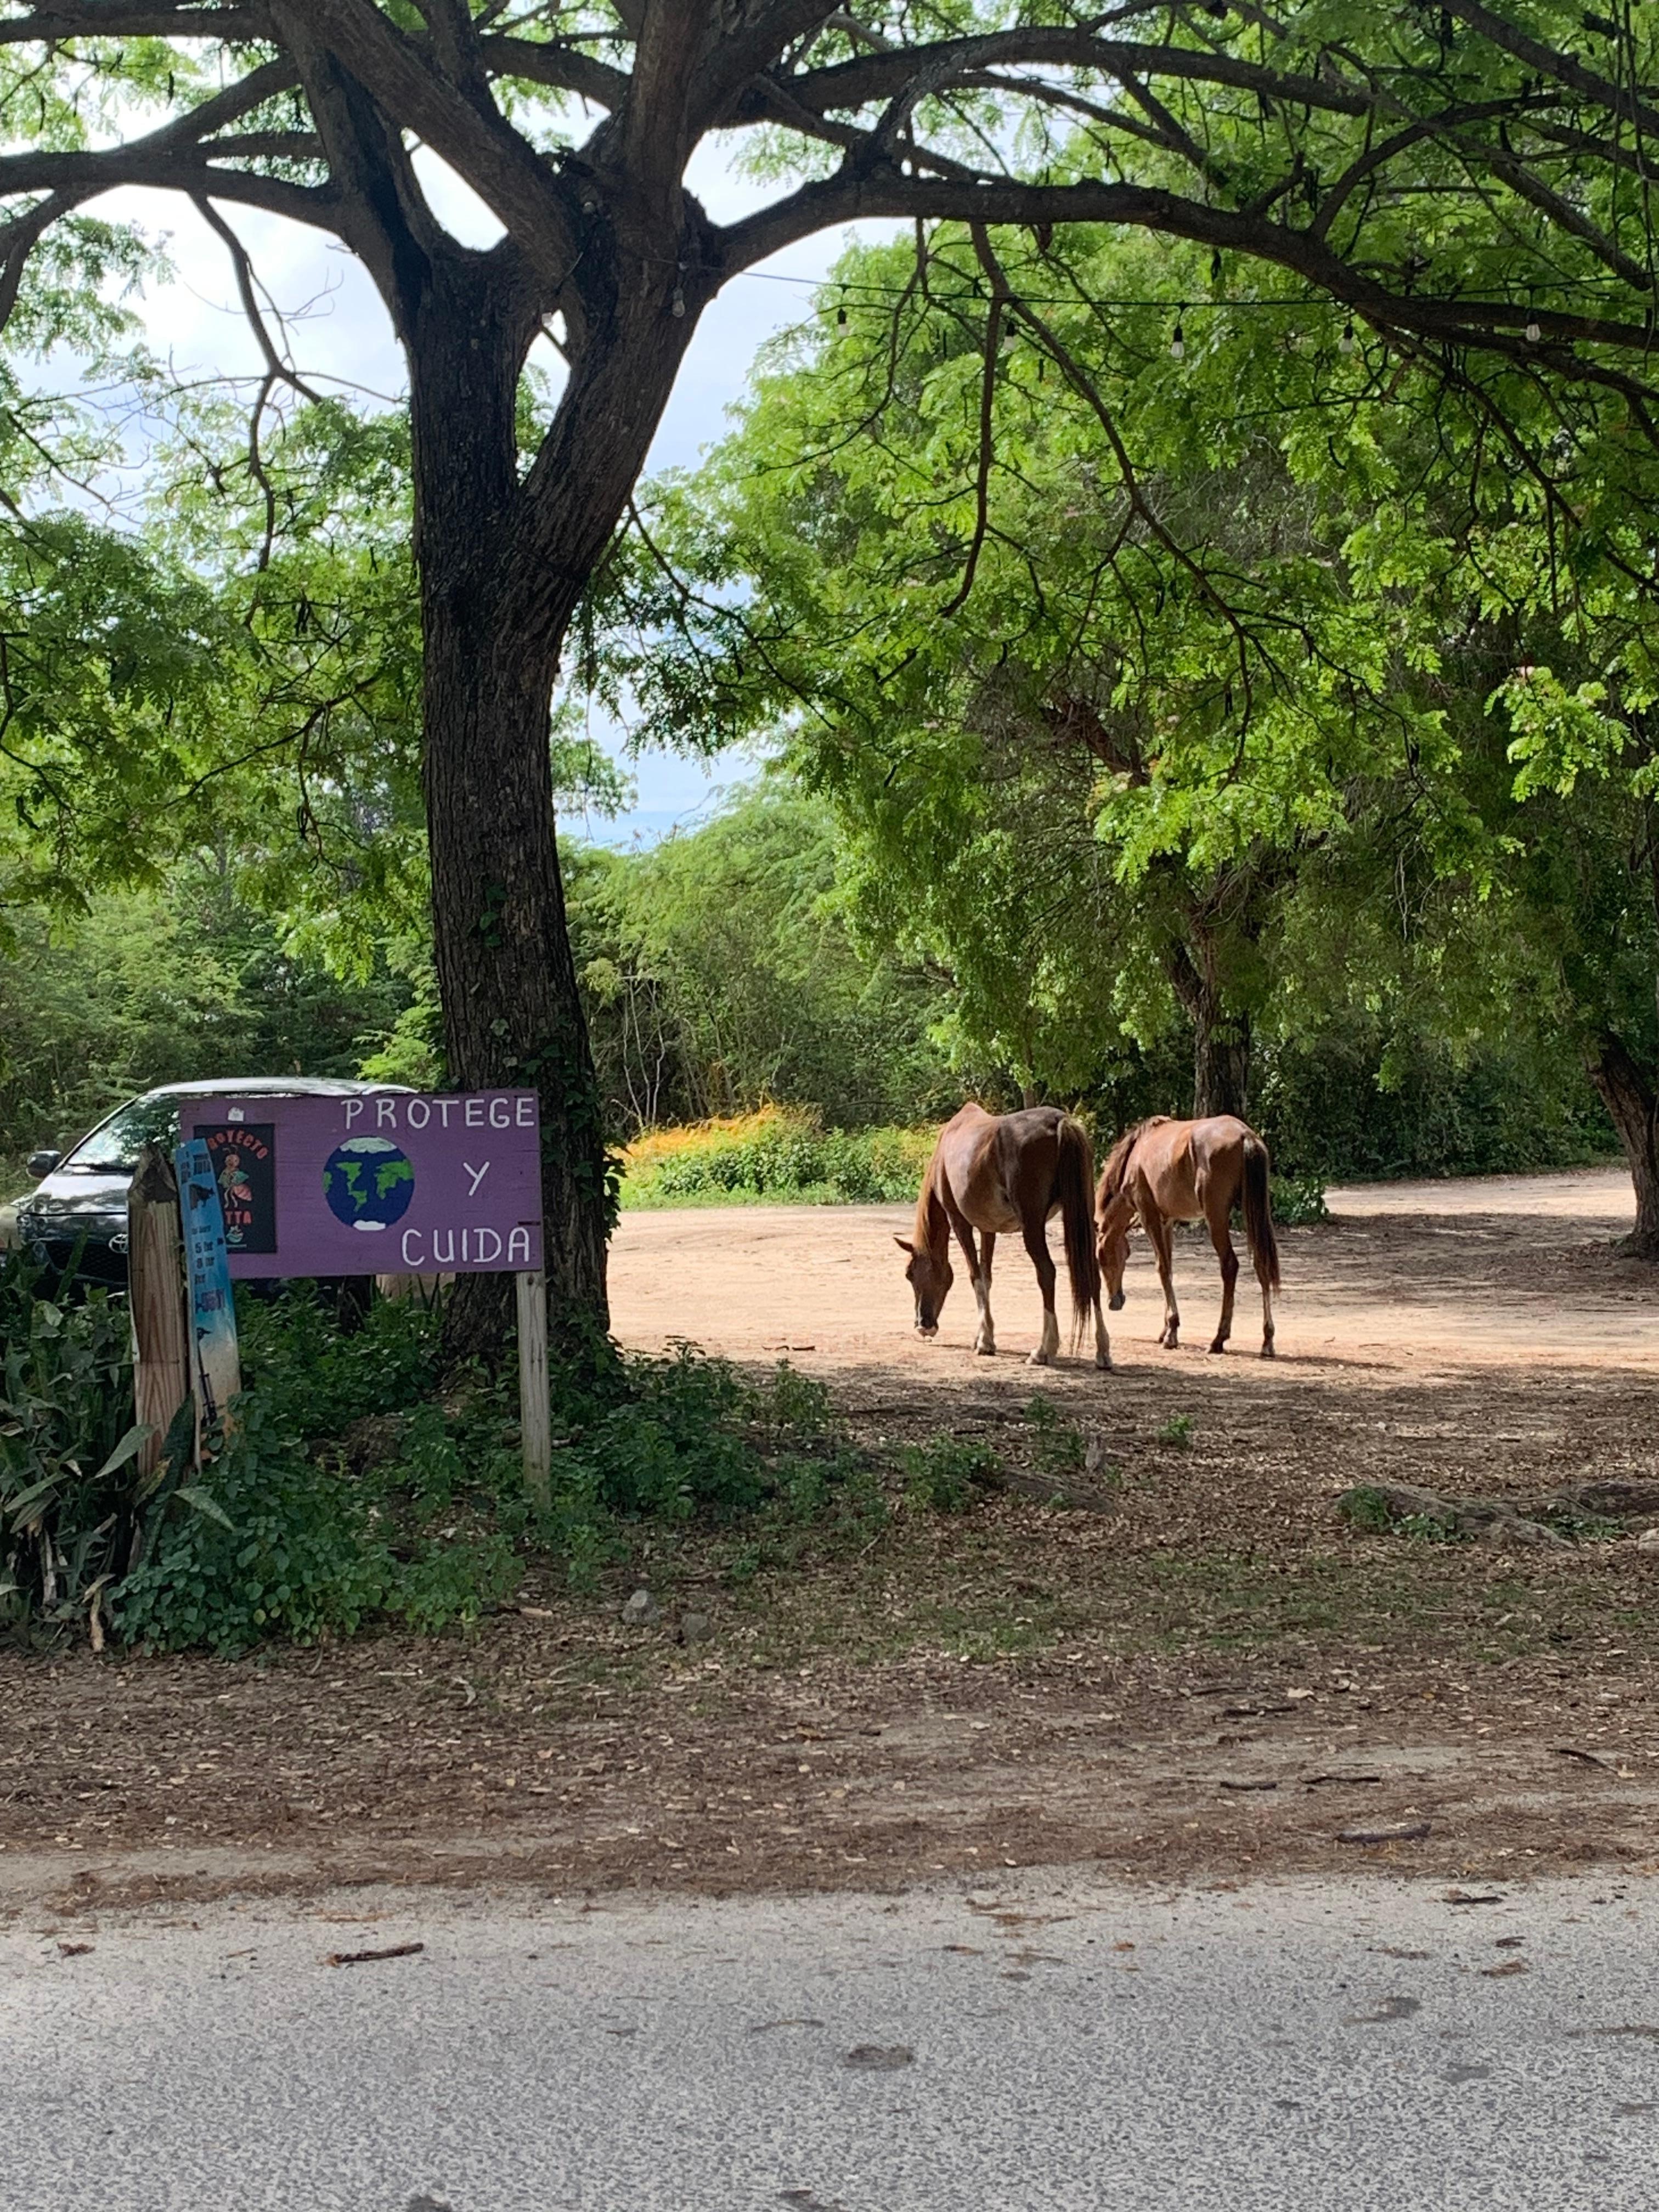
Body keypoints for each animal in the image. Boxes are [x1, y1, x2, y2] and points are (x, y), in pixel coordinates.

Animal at [896, 1103, 1111, 1369]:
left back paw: (1043, 1350)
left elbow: (976, 1276)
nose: (922, 1325)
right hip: (1085, 1216)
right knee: (1093, 1273)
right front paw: (984, 1335)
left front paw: (984, 1342)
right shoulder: (988, 1229)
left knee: (1047, 1273)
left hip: (1032, 1227)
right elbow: (987, 1277)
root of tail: (1059, 1121)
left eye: (910, 1275)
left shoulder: (960, 1223)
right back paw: (1102, 1351)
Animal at [1094, 1115, 1280, 1357]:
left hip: (1216, 1217)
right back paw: (1267, 1340)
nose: (1114, 1302)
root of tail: (1244, 1135)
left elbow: (1162, 1268)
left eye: (1101, 1258)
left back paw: (1218, 1339)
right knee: (1261, 1264)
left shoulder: (1149, 1216)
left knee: (1230, 1265)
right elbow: (1168, 1270)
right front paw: (1166, 1329)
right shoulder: (1167, 1222)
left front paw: (1172, 1332)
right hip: (1254, 1213)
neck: (1135, 1156)